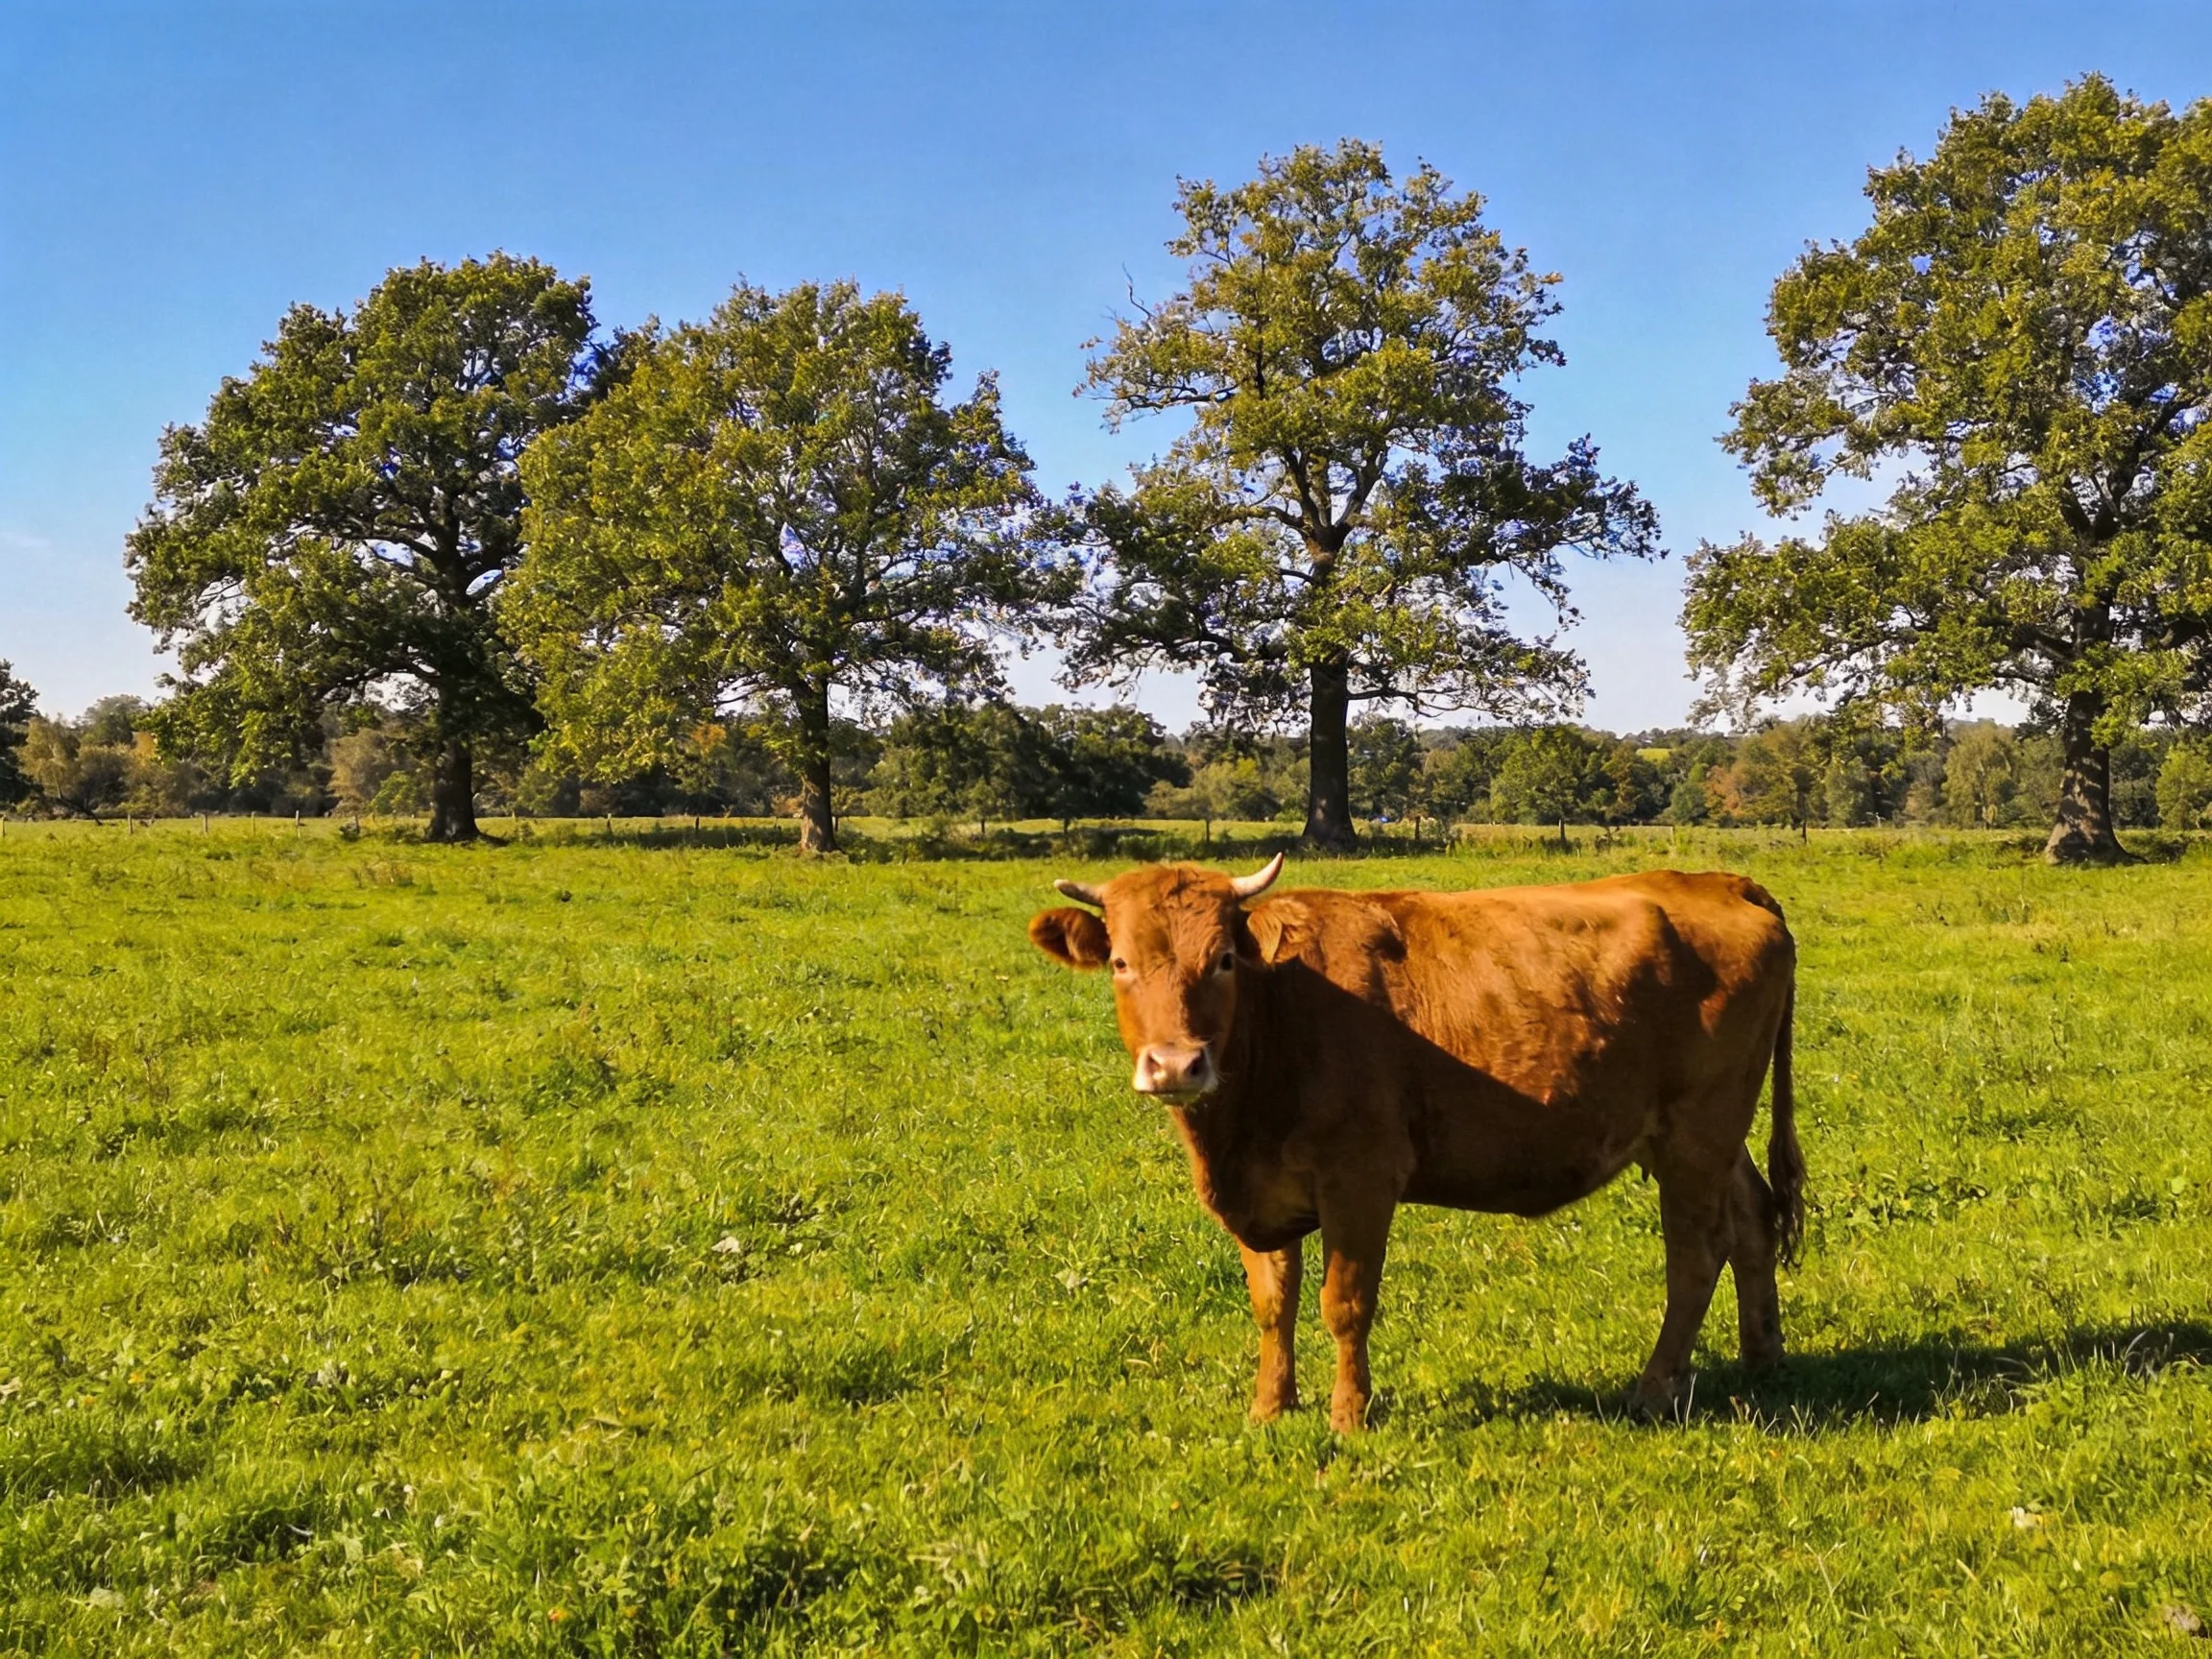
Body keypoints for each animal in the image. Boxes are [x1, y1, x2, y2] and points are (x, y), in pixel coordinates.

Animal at [1028, 854, 1803, 1430]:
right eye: (1121, 963)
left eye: (1222, 959)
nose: (1175, 1065)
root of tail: (1717, 881)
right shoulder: (1261, 1192)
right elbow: (1273, 1303)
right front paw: (1269, 1409)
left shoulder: (1361, 1178)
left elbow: (1344, 1303)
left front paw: (1348, 1417)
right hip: (1705, 1136)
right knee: (1752, 1218)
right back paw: (1762, 1357)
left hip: (1699, 1131)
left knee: (1697, 1251)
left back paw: (1655, 1388)